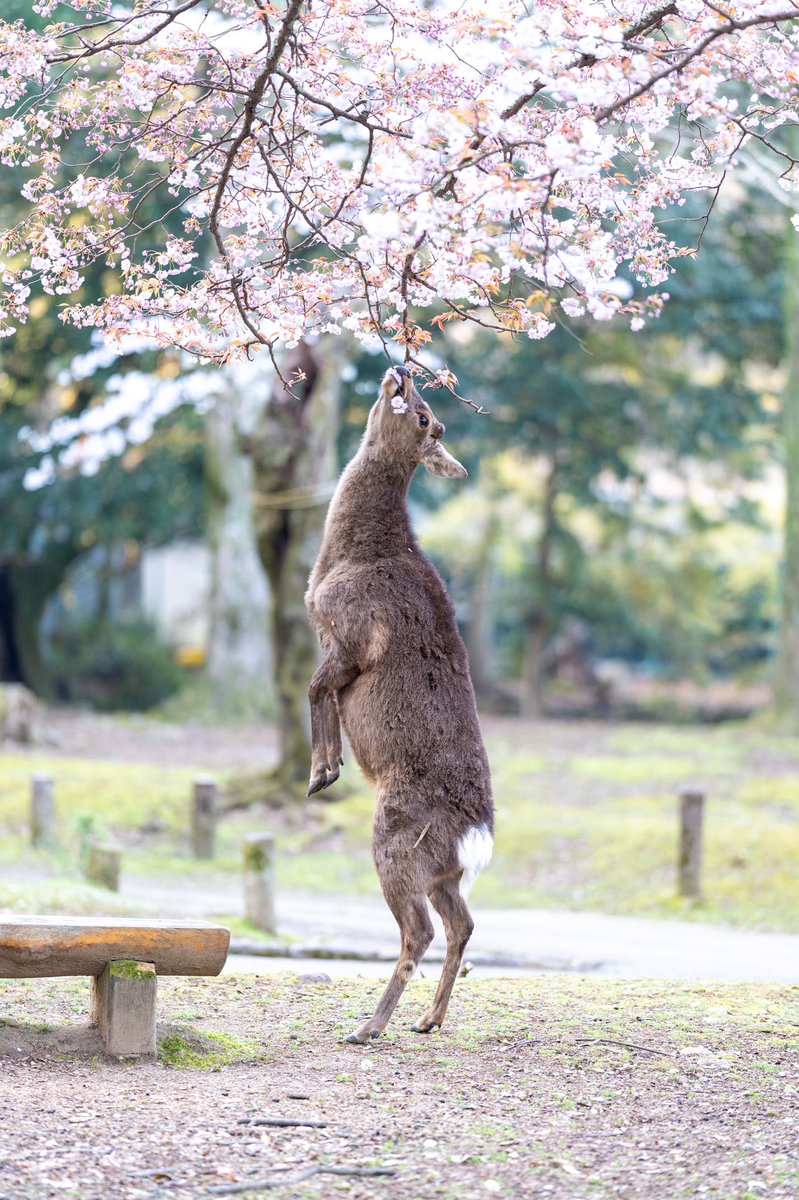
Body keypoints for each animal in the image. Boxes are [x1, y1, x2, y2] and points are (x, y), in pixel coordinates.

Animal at [305, 364, 494, 1044]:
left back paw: (368, 1027)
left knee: (420, 931)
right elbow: (319, 690)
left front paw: (322, 771)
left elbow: (316, 688)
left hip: (397, 842)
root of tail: (477, 834)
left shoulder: (354, 634)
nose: (403, 369)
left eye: (425, 417)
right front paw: (327, 767)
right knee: (463, 923)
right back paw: (428, 1020)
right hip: (441, 871)